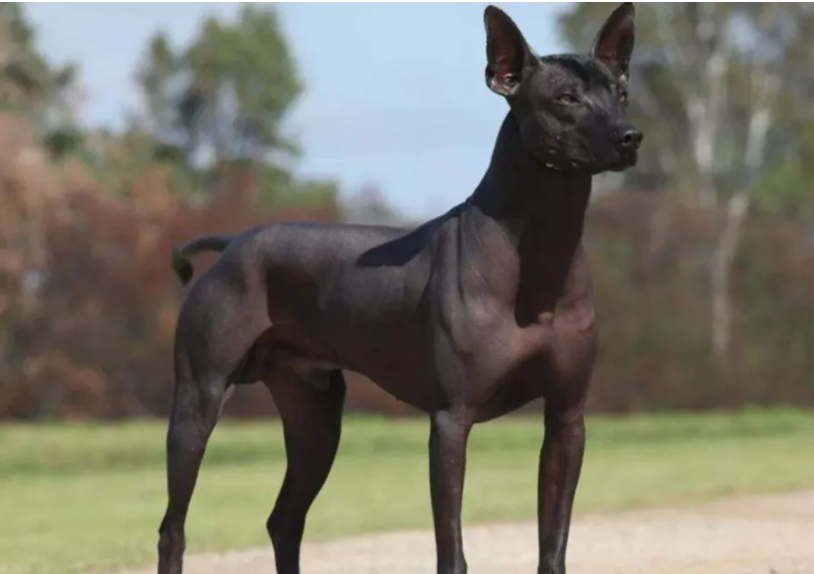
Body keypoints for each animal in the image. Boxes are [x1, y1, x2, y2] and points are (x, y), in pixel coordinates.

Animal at [161, 4, 644, 574]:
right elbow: (451, 550)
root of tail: (234, 242)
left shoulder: (567, 420)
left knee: (284, 519)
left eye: (621, 93)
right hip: (198, 402)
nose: (630, 136)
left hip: (314, 417)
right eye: (566, 99)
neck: (538, 251)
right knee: (173, 529)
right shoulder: (451, 420)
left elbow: (554, 545)